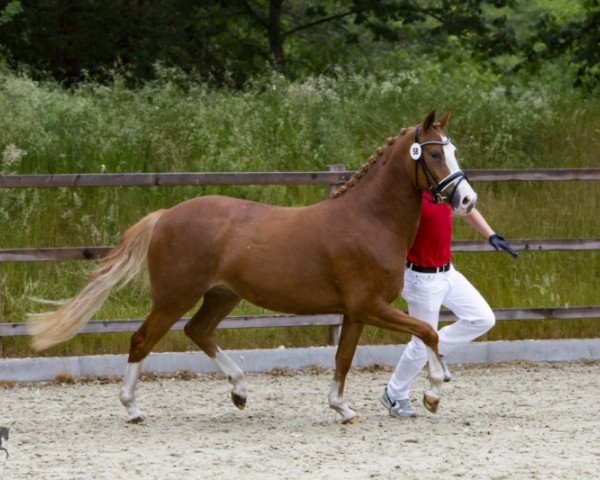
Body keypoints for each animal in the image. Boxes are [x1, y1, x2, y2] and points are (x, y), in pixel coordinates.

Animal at [28, 109, 478, 424]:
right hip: (175, 297)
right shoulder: (370, 306)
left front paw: (343, 409)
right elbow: (427, 332)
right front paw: (434, 392)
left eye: (453, 150)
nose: (467, 200)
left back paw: (240, 392)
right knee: (142, 340)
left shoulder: (355, 313)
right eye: (433, 152)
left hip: (221, 296)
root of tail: (167, 215)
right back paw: (133, 409)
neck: (368, 219)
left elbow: (344, 359)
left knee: (198, 331)